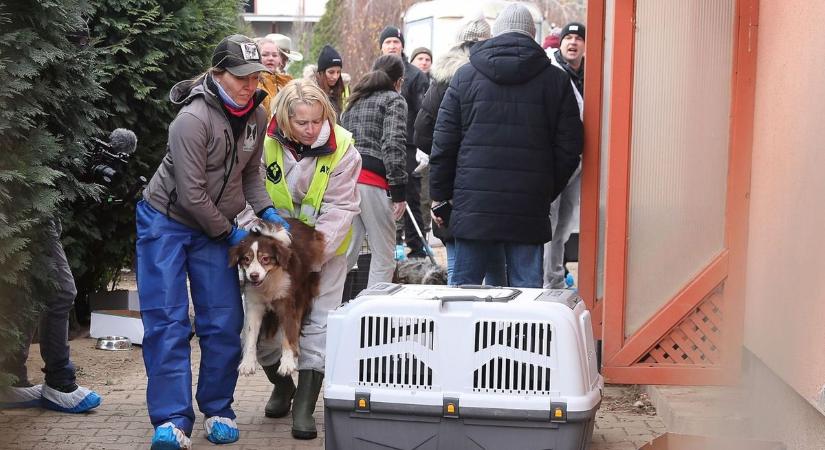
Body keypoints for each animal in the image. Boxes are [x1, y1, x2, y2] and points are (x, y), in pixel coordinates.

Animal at [230, 218, 326, 376]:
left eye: (265, 259)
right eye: (246, 259)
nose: (253, 275)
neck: (268, 282)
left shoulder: (286, 303)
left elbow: (288, 334)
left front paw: (287, 363)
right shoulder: (254, 304)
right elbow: (250, 335)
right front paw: (247, 363)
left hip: (301, 294)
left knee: (296, 326)